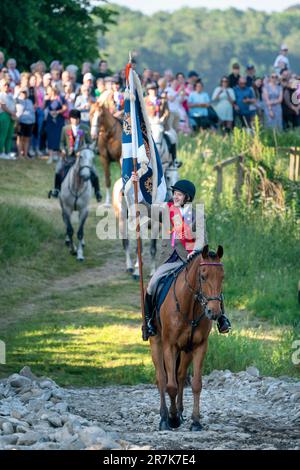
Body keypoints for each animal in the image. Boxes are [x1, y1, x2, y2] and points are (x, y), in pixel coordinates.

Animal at [149, 244, 223, 432]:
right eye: (203, 276)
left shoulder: (199, 346)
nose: (214, 312)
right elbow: (171, 386)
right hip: (156, 342)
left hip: (187, 350)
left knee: (181, 375)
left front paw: (195, 421)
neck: (189, 305)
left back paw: (180, 413)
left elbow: (196, 384)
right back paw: (164, 417)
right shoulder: (169, 346)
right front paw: (172, 418)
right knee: (162, 378)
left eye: (222, 277)